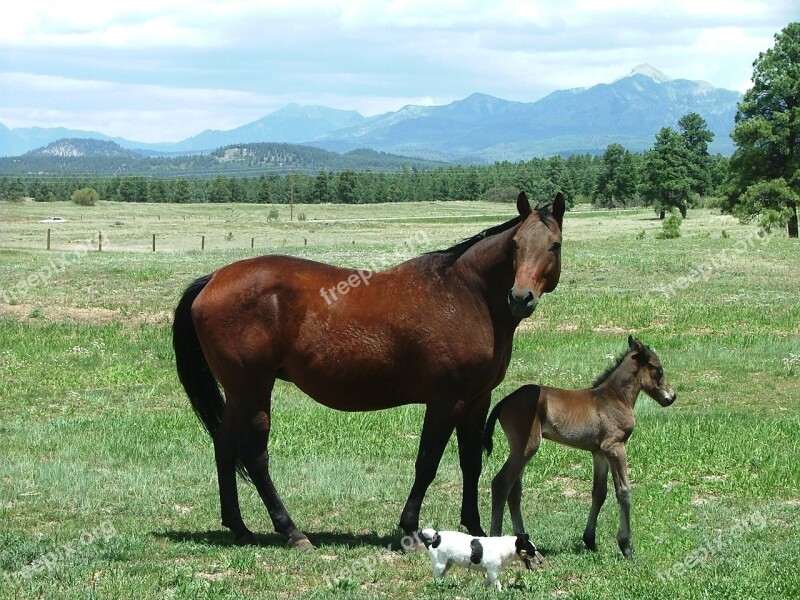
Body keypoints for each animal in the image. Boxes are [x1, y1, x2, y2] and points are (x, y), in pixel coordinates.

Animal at [482, 338, 676, 556]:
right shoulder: (614, 447)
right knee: (501, 483)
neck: (614, 398)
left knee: (514, 490)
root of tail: (504, 401)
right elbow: (623, 491)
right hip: (526, 448)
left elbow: (599, 492)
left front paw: (590, 540)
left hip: (521, 450)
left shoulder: (599, 452)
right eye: (659, 370)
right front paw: (626, 546)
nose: (671, 397)